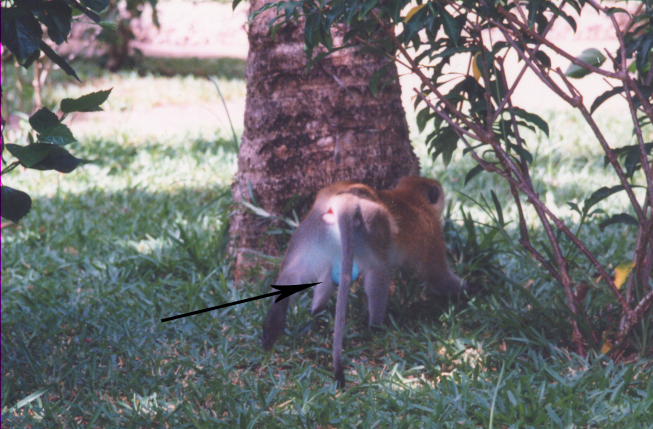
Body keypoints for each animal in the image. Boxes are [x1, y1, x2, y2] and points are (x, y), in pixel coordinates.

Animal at [261, 176, 467, 388]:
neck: (412, 198)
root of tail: (345, 200)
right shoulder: (432, 234)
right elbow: (437, 276)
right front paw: (469, 292)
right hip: (371, 227)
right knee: (379, 271)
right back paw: (375, 328)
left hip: (314, 228)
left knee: (296, 274)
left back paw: (292, 317)